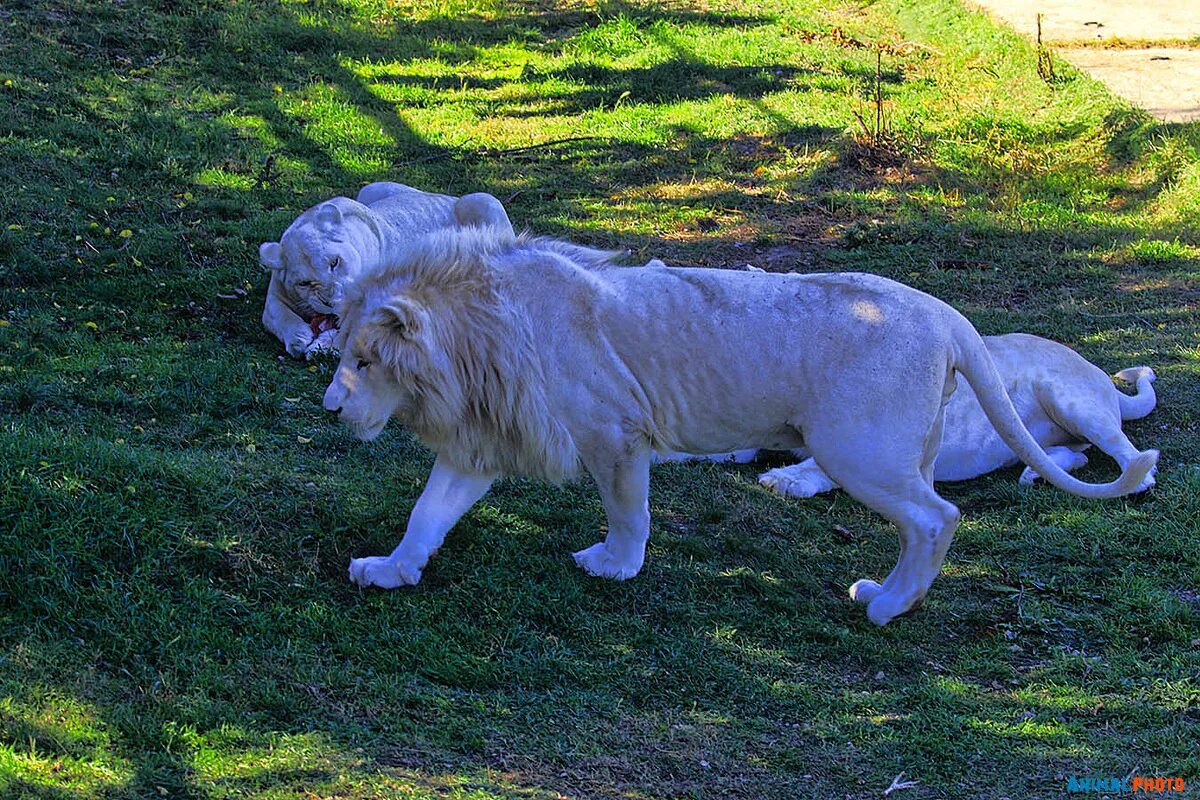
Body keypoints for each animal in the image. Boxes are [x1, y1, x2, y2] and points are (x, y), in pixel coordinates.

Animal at [258, 183, 511, 357]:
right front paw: (298, 338)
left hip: (483, 200)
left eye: (334, 262)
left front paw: (320, 346)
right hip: (370, 189)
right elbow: (276, 315)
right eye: (304, 283)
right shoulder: (275, 293)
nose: (331, 302)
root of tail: (451, 197)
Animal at [753, 335, 1156, 496]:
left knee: (1132, 458)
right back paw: (1034, 475)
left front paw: (784, 480)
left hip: (1072, 402)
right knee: (1076, 456)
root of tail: (1099, 375)